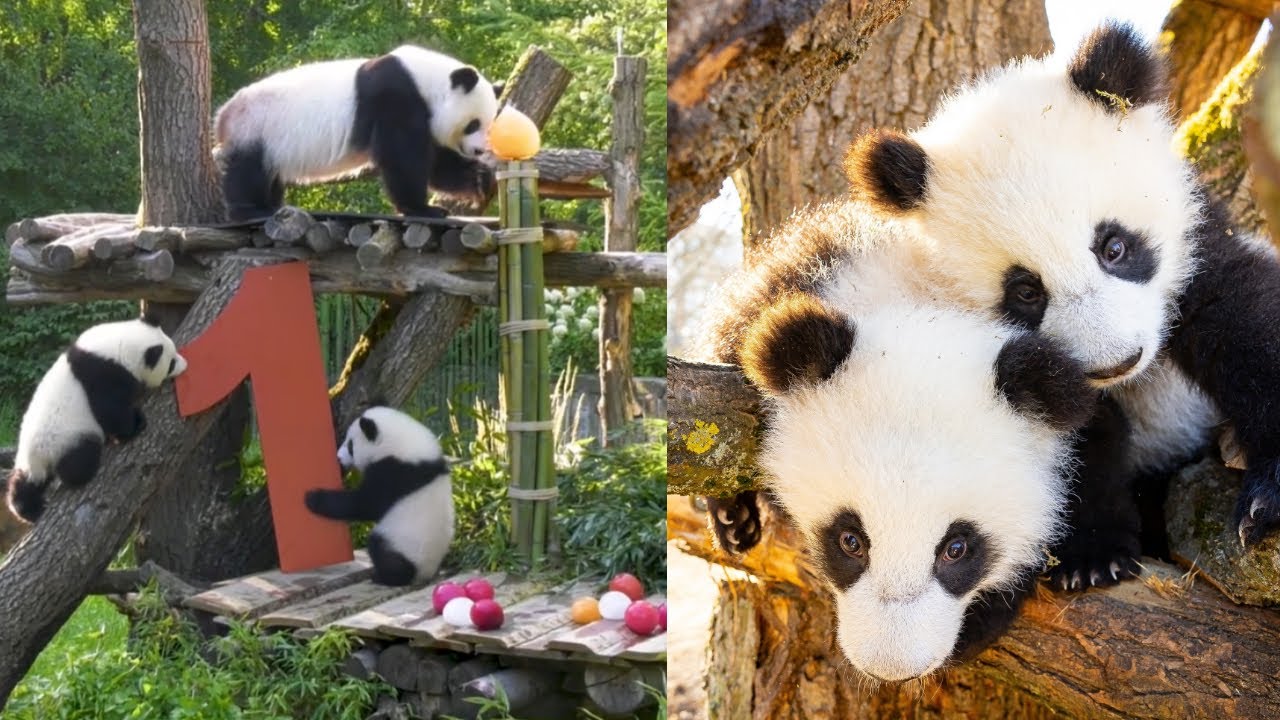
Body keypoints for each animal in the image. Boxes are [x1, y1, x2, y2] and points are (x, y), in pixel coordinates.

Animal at [6, 313, 188, 524]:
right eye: (171, 363)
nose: (185, 365)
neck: (118, 346)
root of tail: (39, 457)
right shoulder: (104, 375)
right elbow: (110, 410)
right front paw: (135, 426)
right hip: (67, 438)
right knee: (78, 462)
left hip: (29, 461)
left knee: (24, 483)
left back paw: (28, 508)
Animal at [214, 45, 503, 222]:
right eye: (473, 124)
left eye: (489, 125)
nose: (478, 149)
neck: (425, 80)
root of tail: (223, 115)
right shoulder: (396, 97)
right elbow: (402, 156)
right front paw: (424, 209)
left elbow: (437, 162)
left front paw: (481, 179)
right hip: (255, 128)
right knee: (248, 170)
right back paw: (251, 210)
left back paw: (273, 205)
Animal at [305, 406, 454, 586]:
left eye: (351, 445)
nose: (338, 458)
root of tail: (424, 574)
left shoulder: (393, 473)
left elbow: (364, 504)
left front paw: (313, 497)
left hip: (403, 543)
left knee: (381, 549)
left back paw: (384, 576)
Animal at [696, 207, 1105, 679]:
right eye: (849, 540)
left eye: (957, 548)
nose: (891, 668)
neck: (927, 311)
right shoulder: (823, 270)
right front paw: (731, 516)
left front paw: (984, 619)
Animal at [841, 22, 1280, 589]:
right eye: (1026, 291)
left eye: (1114, 247)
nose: (1117, 362)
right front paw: (1092, 555)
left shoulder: (1196, 245)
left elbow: (1242, 320)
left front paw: (1266, 501)